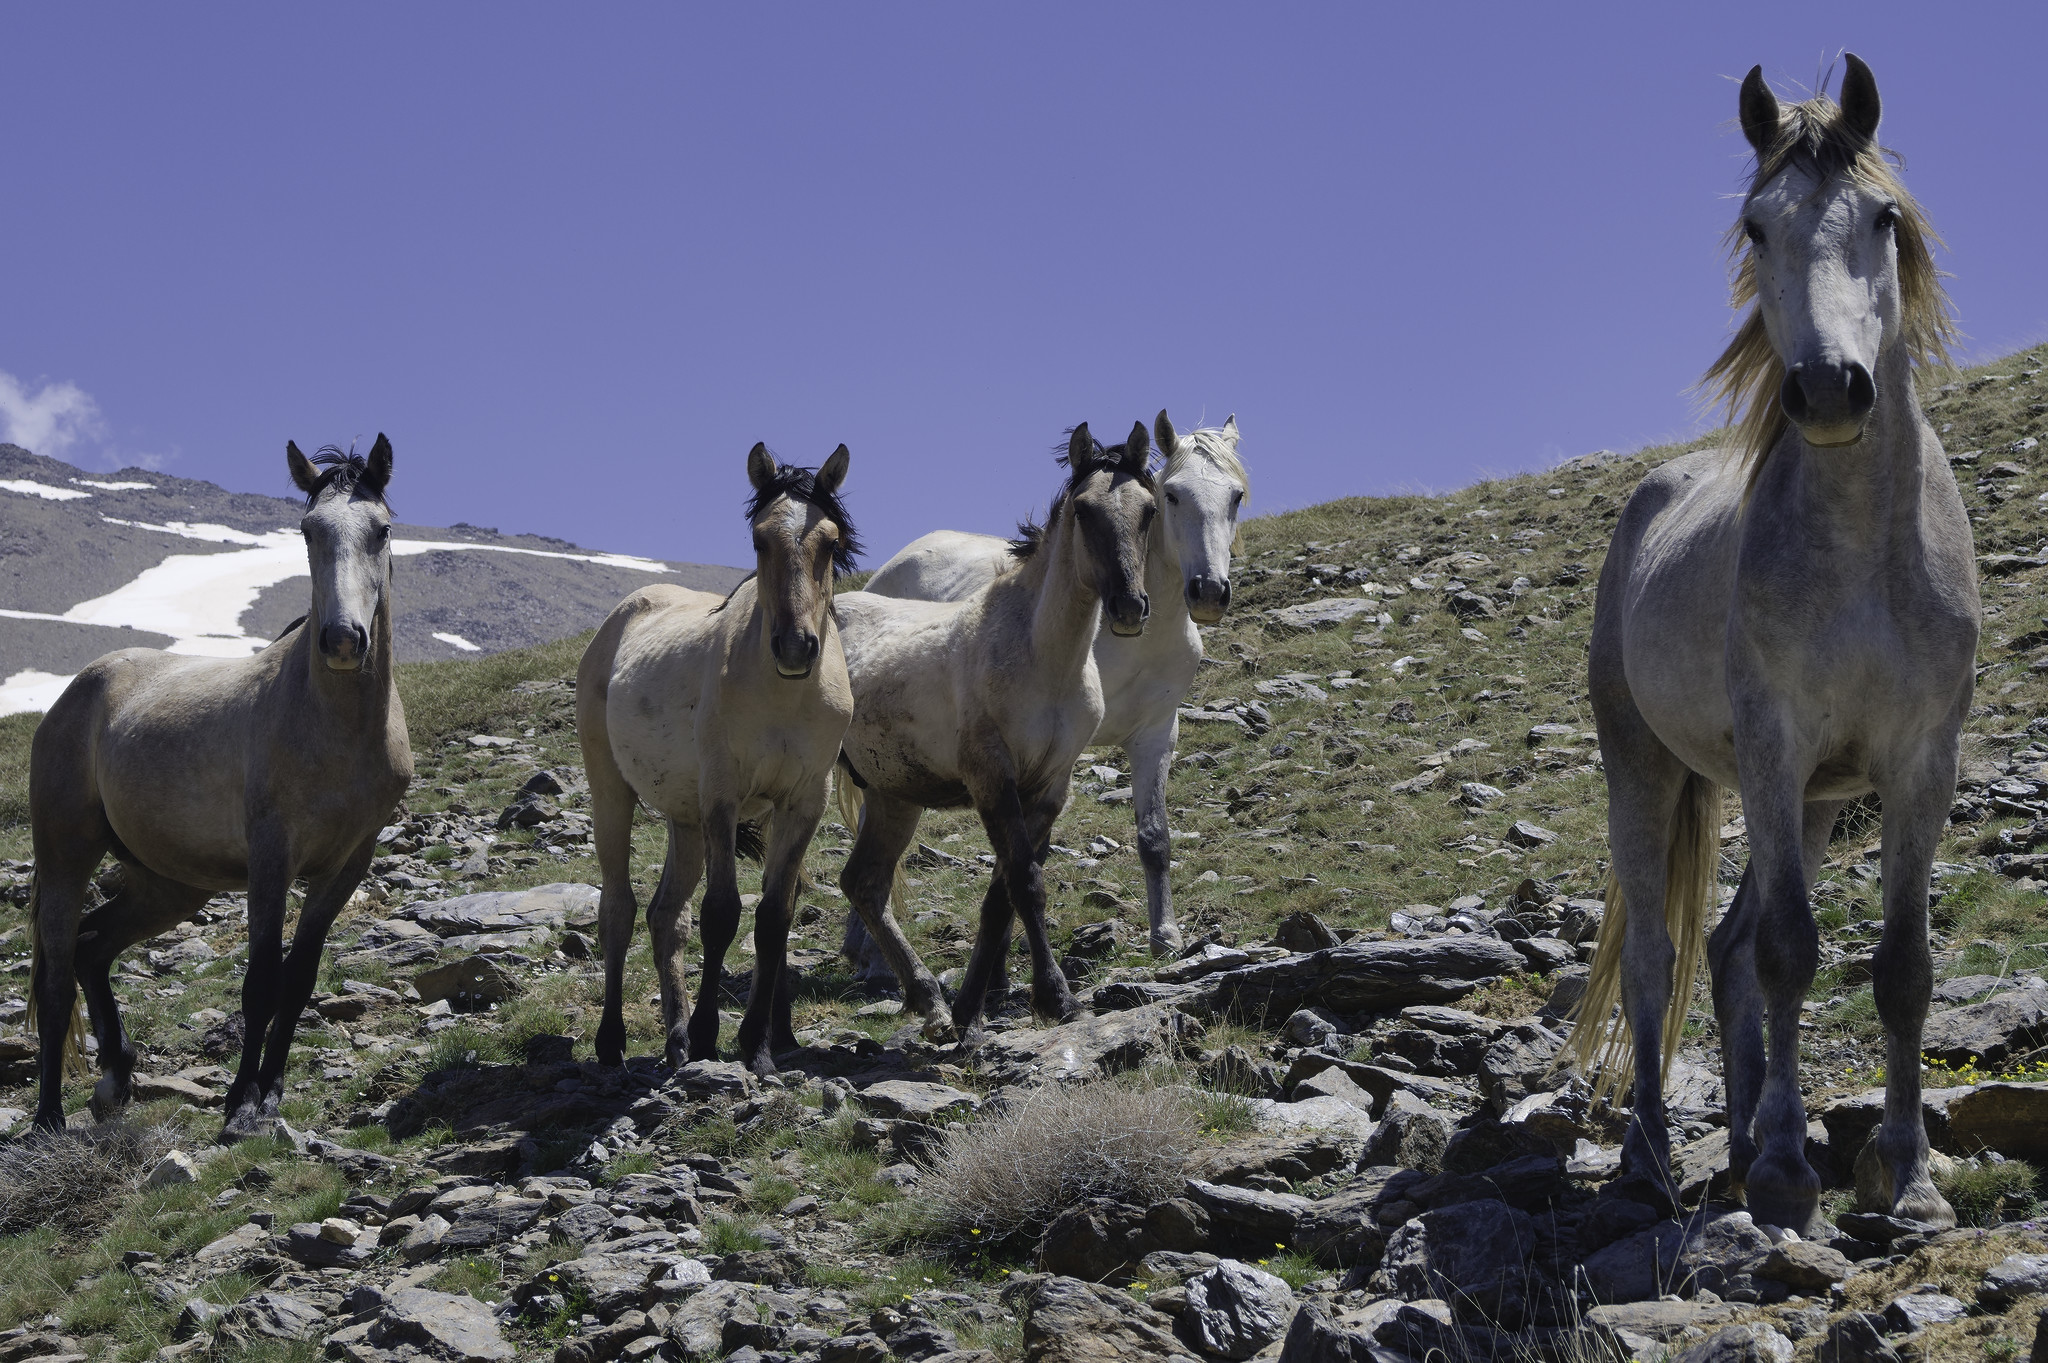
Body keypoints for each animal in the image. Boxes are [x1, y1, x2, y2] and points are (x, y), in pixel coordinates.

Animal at [28, 437, 412, 1139]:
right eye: (309, 530)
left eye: (381, 529)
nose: (344, 640)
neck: (333, 731)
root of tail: (78, 691)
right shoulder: (271, 858)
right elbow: (260, 980)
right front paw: (240, 1103)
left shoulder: (346, 864)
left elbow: (299, 978)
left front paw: (271, 1093)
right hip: (68, 853)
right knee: (59, 973)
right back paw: (48, 1118)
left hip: (169, 883)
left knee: (94, 948)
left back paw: (116, 1077)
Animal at [578, 443, 857, 1075]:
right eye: (759, 540)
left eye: (830, 542)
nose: (796, 648)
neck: (783, 694)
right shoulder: (724, 798)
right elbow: (723, 913)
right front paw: (711, 1035)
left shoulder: (801, 803)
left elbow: (775, 916)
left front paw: (762, 1043)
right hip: (614, 793)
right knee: (620, 911)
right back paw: (613, 1041)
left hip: (685, 818)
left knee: (665, 916)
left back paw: (676, 1038)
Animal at [834, 422, 1156, 1039]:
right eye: (1084, 510)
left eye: (1150, 509)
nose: (1130, 606)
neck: (1043, 660)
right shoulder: (992, 778)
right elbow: (1025, 883)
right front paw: (1057, 998)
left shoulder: (1049, 788)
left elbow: (1002, 893)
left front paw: (969, 1007)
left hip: (892, 795)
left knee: (864, 883)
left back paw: (927, 999)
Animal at [859, 410, 1247, 958]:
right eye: (1172, 495)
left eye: (1235, 496)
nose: (1209, 591)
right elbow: (1028, 855)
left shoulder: (1154, 736)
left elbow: (1154, 837)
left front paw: (1166, 935)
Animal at [1568, 55, 1973, 1234]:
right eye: (1756, 226)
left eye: (1883, 218)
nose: (1829, 389)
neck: (1863, 548)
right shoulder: (1773, 743)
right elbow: (1794, 949)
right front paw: (1793, 1176)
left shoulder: (1915, 762)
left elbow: (1900, 966)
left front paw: (1908, 1176)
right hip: (1650, 767)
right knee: (1661, 962)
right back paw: (1653, 1160)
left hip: (1817, 798)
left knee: (1726, 946)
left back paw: (1744, 1139)